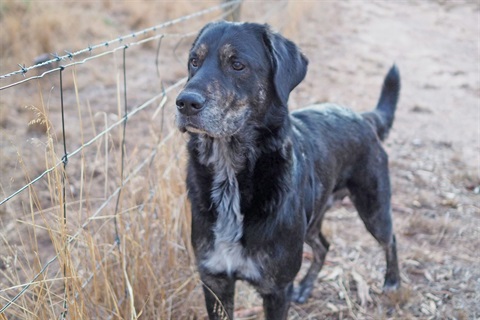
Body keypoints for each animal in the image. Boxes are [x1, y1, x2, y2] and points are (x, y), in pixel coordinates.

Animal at [174, 21, 400, 318]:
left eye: (237, 64)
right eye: (194, 61)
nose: (185, 103)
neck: (230, 177)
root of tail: (364, 117)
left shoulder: (277, 290)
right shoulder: (214, 282)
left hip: (373, 209)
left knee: (391, 239)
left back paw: (392, 281)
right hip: (314, 219)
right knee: (323, 246)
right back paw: (306, 287)